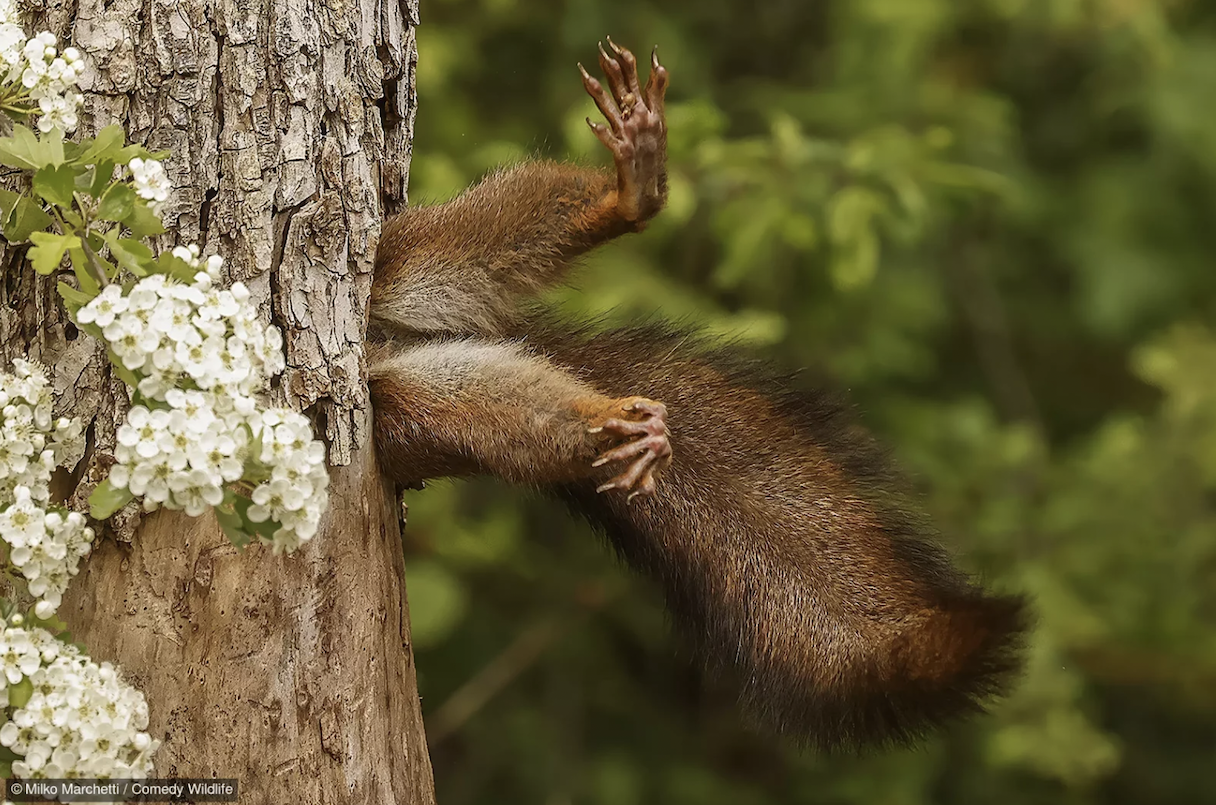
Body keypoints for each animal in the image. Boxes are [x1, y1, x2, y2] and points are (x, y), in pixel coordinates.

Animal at [362, 41, 1026, 753]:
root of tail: (387, 343)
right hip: (407, 408)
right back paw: (615, 424)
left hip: (401, 261)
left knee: (476, 237)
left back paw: (631, 194)